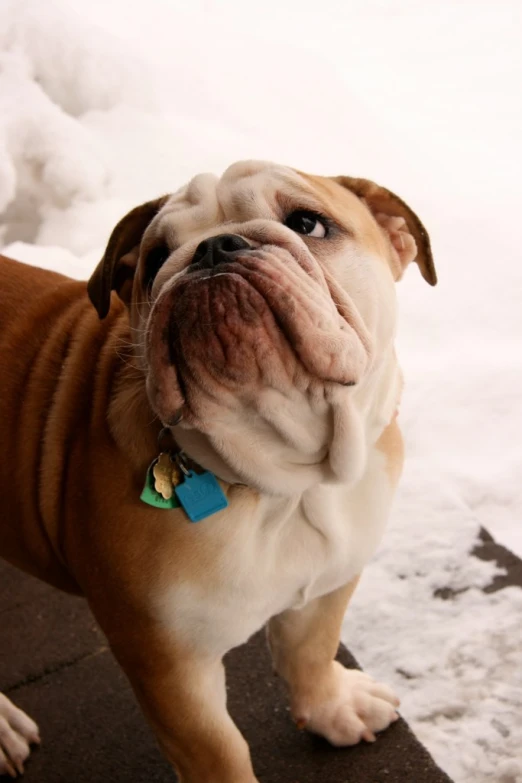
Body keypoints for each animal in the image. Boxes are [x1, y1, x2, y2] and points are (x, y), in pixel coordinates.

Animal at [0, 161, 432, 783]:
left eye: (308, 223)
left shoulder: (334, 578)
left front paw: (333, 708)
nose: (213, 247)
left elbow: (312, 647)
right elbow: (219, 752)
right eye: (156, 257)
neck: (289, 483)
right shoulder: (169, 665)